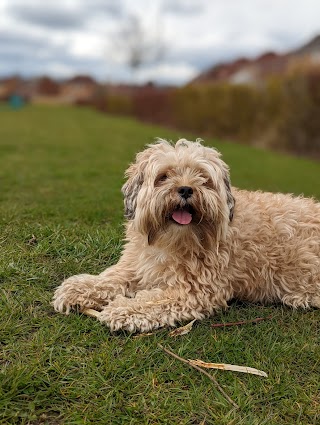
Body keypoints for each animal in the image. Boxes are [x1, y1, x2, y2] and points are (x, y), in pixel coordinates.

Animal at [53, 139, 320, 332]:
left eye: (204, 178)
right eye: (163, 176)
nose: (185, 189)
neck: (173, 242)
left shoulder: (195, 292)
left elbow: (152, 301)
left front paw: (123, 310)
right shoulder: (138, 264)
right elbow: (112, 277)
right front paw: (80, 287)